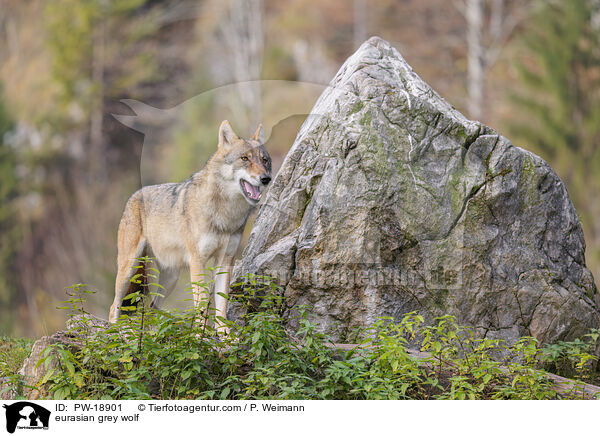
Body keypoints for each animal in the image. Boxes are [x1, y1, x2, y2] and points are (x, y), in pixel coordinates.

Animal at [109, 119, 274, 330]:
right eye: (244, 158)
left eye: (265, 160)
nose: (266, 179)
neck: (226, 214)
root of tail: (135, 195)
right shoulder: (198, 261)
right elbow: (202, 306)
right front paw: (198, 336)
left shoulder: (225, 261)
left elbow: (221, 306)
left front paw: (225, 336)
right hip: (129, 268)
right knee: (115, 305)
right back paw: (113, 332)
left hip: (170, 279)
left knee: (153, 307)